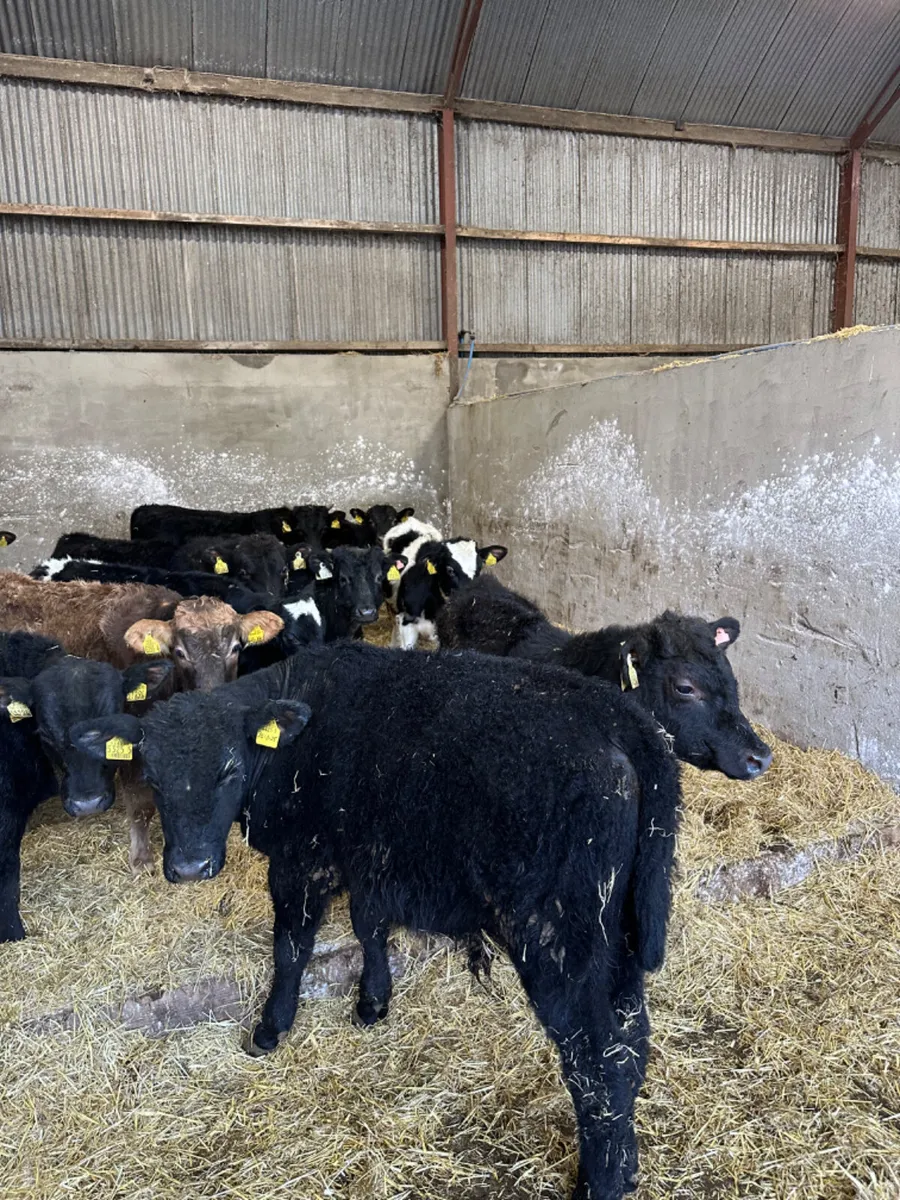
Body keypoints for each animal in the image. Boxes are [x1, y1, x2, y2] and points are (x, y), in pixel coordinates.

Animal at [80, 642, 680, 1200]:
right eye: (153, 776)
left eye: (229, 768)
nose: (188, 867)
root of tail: (622, 718)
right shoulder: (369, 856)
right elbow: (369, 925)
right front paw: (373, 1002)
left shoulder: (303, 860)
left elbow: (291, 946)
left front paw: (271, 1027)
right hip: (621, 936)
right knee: (631, 1041)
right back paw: (625, 1168)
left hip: (559, 938)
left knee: (599, 1061)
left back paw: (598, 1183)